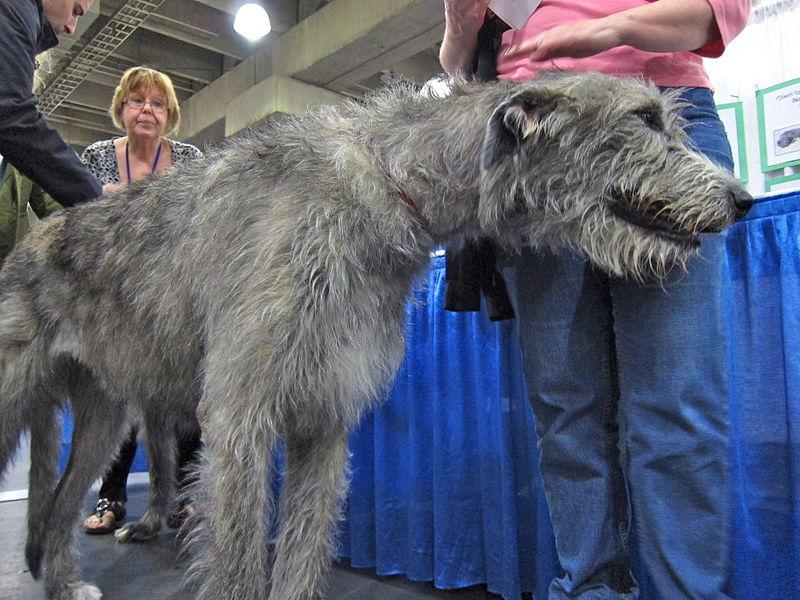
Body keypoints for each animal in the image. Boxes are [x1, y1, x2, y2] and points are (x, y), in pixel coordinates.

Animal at [0, 71, 752, 600]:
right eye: (643, 119)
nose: (742, 200)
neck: (389, 185)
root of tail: (29, 241)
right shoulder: (241, 420)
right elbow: (238, 561)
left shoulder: (324, 419)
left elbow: (302, 555)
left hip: (102, 416)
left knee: (61, 506)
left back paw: (65, 582)